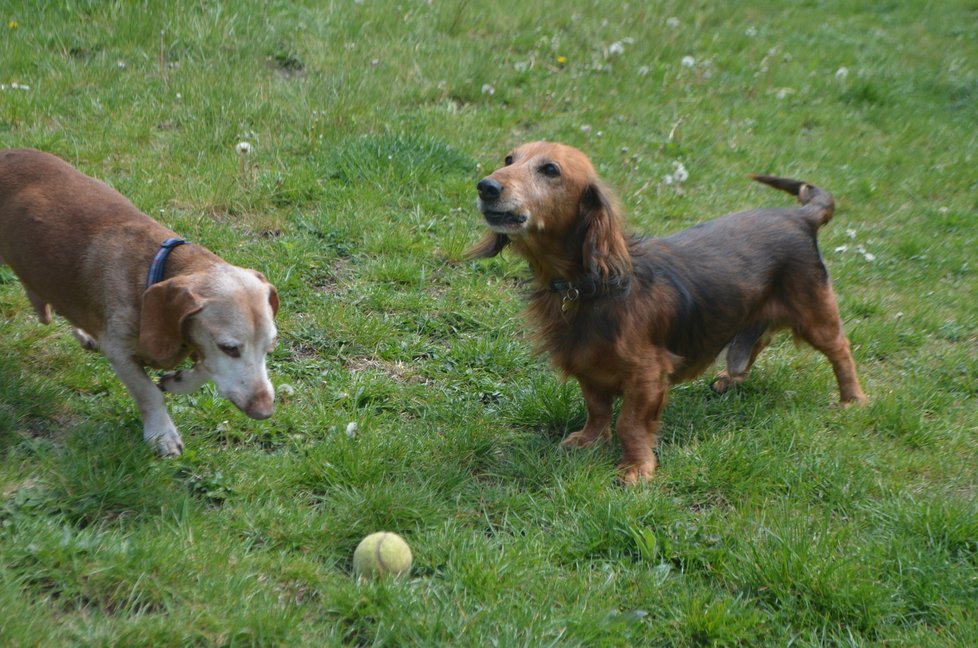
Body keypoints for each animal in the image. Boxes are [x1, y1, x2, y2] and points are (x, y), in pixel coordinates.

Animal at [0, 149, 282, 456]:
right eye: (229, 348)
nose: (265, 411)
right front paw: (162, 434)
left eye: (270, 346)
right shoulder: (119, 352)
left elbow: (202, 370)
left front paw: (178, 382)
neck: (152, 270)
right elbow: (148, 393)